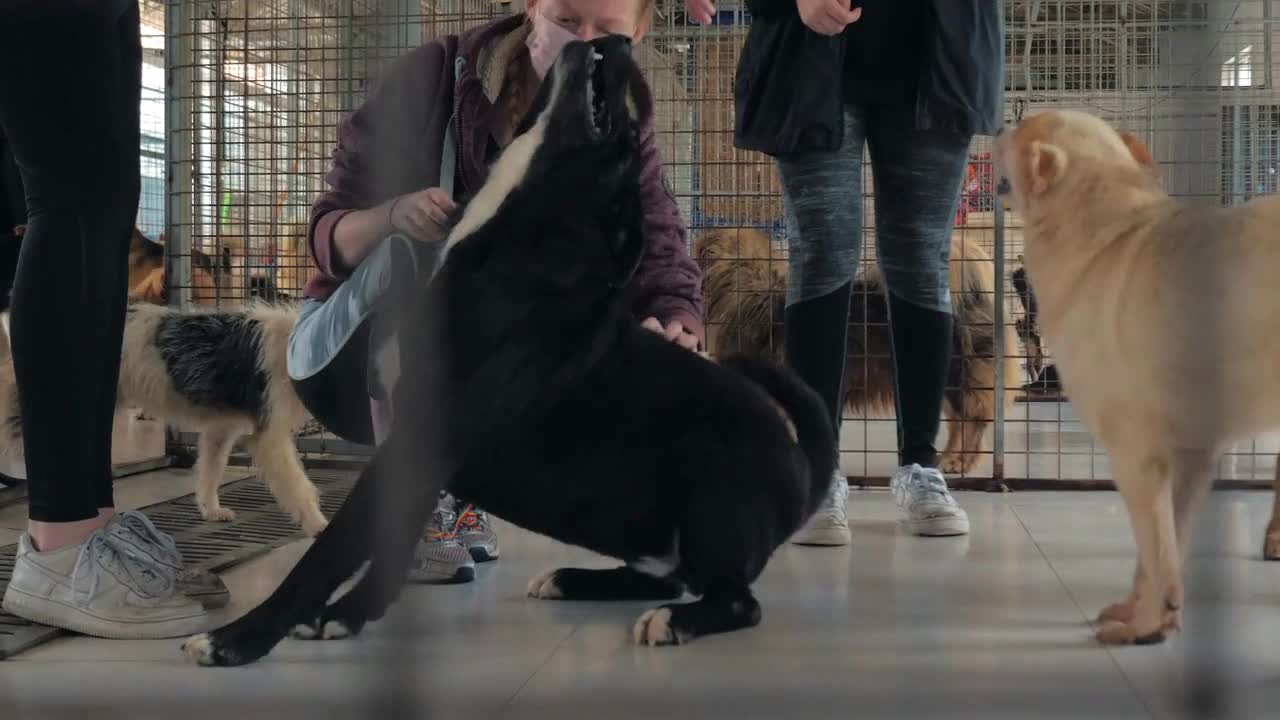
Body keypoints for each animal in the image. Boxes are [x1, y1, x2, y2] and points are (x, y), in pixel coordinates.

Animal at [0, 299, 325, 535]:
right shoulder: (269, 438)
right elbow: (299, 484)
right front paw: (317, 524)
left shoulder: (220, 429)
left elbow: (210, 471)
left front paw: (210, 509)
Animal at [183, 36, 839, 666]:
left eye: (629, 138)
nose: (620, 39)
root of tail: (802, 463)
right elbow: (383, 548)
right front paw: (346, 614)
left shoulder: (421, 438)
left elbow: (328, 552)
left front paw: (237, 639)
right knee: (670, 578)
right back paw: (574, 579)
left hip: (711, 488)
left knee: (736, 600)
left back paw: (674, 622)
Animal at [993, 110, 1280, 645]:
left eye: (1023, 126)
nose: (998, 123)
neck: (1106, 235)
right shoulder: (1189, 458)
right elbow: (1164, 550)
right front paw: (1148, 612)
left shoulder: (1135, 457)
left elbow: (1156, 546)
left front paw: (1145, 624)